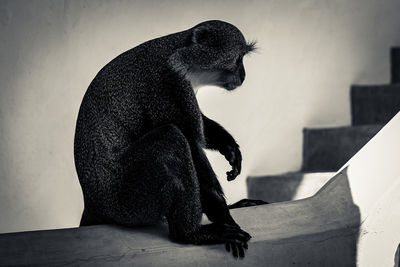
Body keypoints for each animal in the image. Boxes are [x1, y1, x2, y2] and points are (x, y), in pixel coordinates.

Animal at [75, 19, 268, 258]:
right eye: (238, 58)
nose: (243, 75)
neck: (179, 53)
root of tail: (91, 203)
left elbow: (200, 130)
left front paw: (229, 146)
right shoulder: (167, 84)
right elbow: (191, 144)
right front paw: (226, 219)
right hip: (125, 201)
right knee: (171, 138)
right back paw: (190, 234)